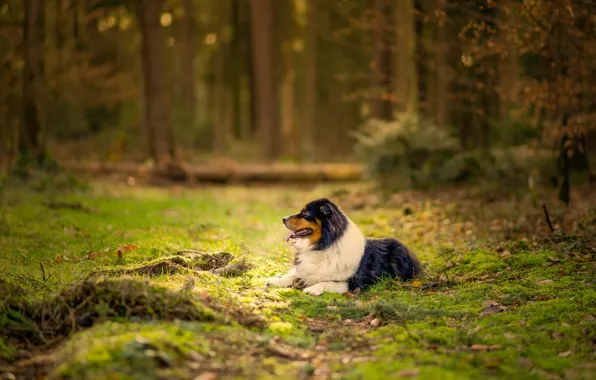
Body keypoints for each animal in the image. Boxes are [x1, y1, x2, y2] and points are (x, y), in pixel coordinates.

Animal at [266, 197, 420, 296]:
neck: (324, 244)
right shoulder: (305, 269)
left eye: (304, 213)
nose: (283, 219)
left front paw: (312, 289)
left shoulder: (348, 283)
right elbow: (292, 275)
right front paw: (275, 280)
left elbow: (327, 282)